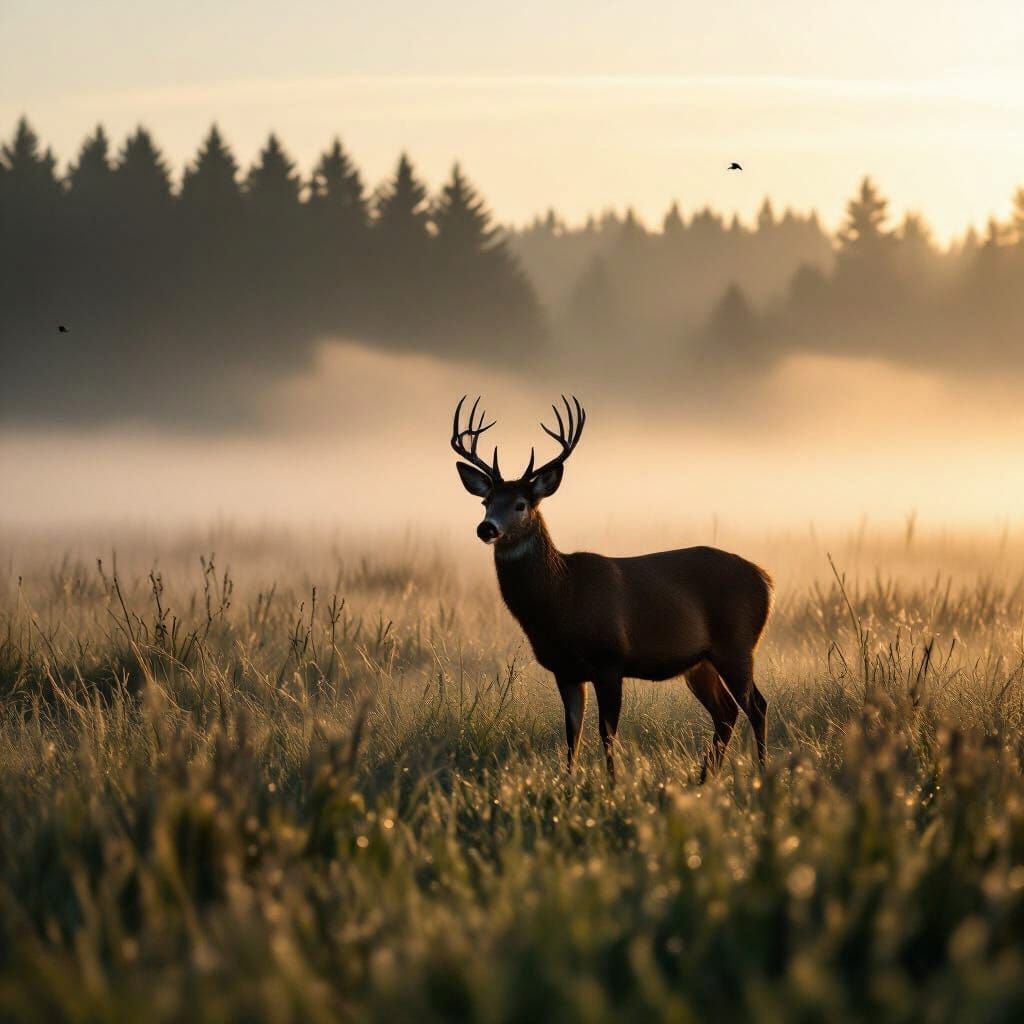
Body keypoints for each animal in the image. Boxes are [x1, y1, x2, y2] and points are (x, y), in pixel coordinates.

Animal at [451, 395, 773, 783]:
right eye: (486, 501)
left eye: (520, 504)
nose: (487, 528)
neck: (562, 597)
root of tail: (766, 579)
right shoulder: (565, 669)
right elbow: (572, 732)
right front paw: (570, 784)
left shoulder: (610, 657)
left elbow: (606, 732)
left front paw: (612, 783)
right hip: (701, 661)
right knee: (726, 712)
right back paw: (703, 779)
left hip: (737, 644)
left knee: (756, 705)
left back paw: (760, 773)